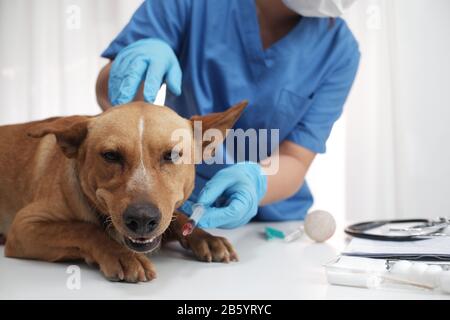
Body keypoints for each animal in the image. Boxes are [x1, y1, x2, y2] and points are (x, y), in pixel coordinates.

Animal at [0, 100, 246, 282]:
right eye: (111, 155)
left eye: (172, 155)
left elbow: (178, 218)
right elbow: (82, 229)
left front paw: (205, 236)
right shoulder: (24, 227)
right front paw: (121, 255)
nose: (142, 219)